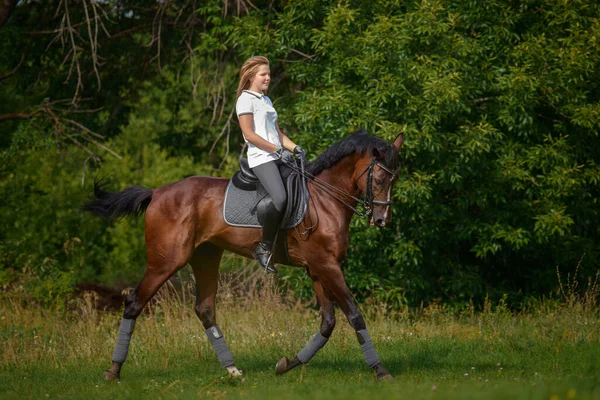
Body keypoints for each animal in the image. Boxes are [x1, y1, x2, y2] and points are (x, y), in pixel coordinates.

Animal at [85, 130, 404, 382]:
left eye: (395, 178)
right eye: (378, 178)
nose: (381, 220)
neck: (324, 199)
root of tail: (157, 192)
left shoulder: (317, 268)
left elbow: (328, 323)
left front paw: (287, 364)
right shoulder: (327, 266)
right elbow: (354, 315)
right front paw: (380, 370)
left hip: (206, 257)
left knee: (205, 309)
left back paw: (232, 370)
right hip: (165, 262)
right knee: (134, 302)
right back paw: (113, 370)